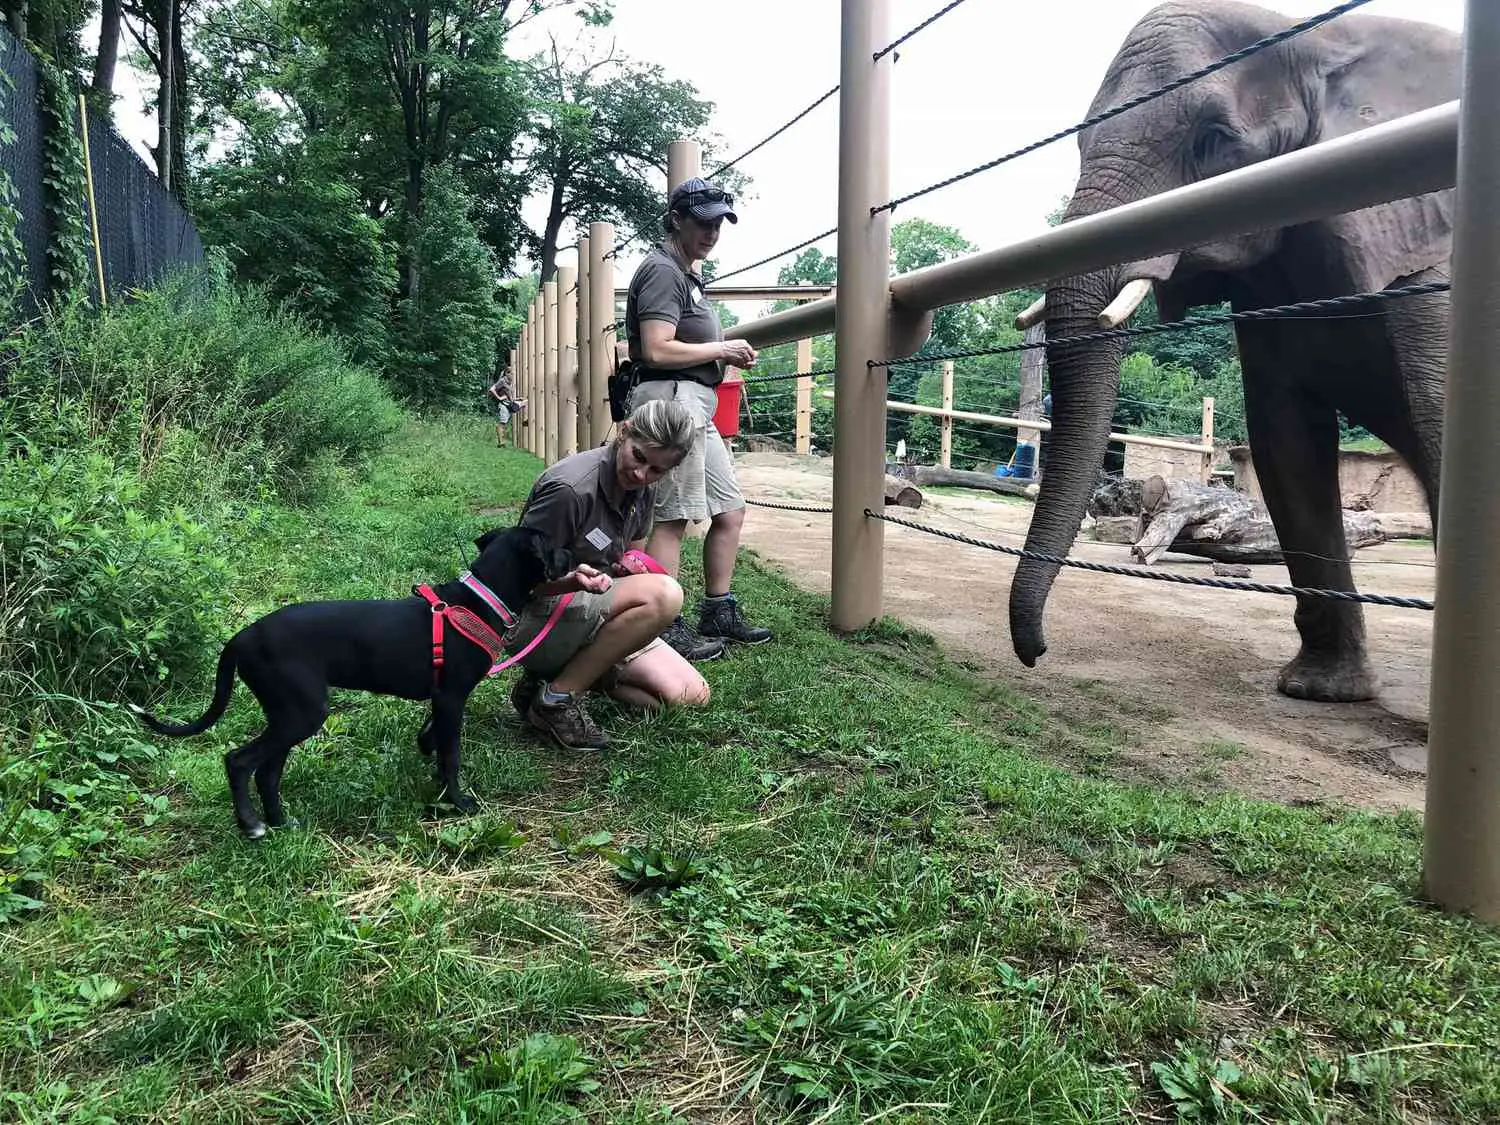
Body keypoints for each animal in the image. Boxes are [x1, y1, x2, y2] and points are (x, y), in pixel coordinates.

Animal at [129, 528, 570, 840]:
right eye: (552, 543)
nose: (573, 551)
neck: (480, 598)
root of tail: (242, 636)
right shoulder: (452, 697)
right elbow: (452, 755)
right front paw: (458, 801)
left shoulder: (441, 700)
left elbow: (434, 740)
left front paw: (432, 768)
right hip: (302, 712)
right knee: (240, 762)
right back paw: (251, 824)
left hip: (287, 714)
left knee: (267, 772)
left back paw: (280, 821)